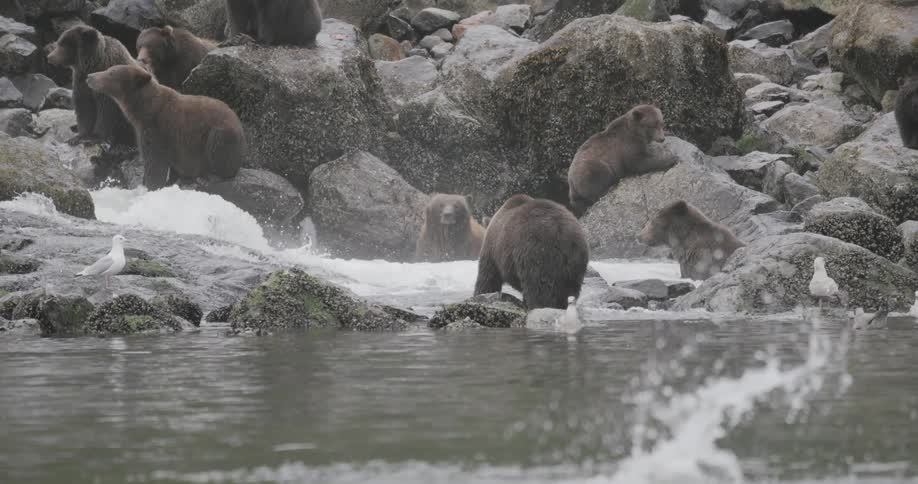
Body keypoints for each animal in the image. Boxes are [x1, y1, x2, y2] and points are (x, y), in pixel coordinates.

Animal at [85, 64, 245, 190]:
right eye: (108, 69)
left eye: (111, 72)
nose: (89, 76)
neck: (143, 110)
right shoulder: (145, 131)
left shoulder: (159, 129)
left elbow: (155, 163)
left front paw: (151, 186)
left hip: (220, 134)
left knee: (219, 150)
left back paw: (211, 177)